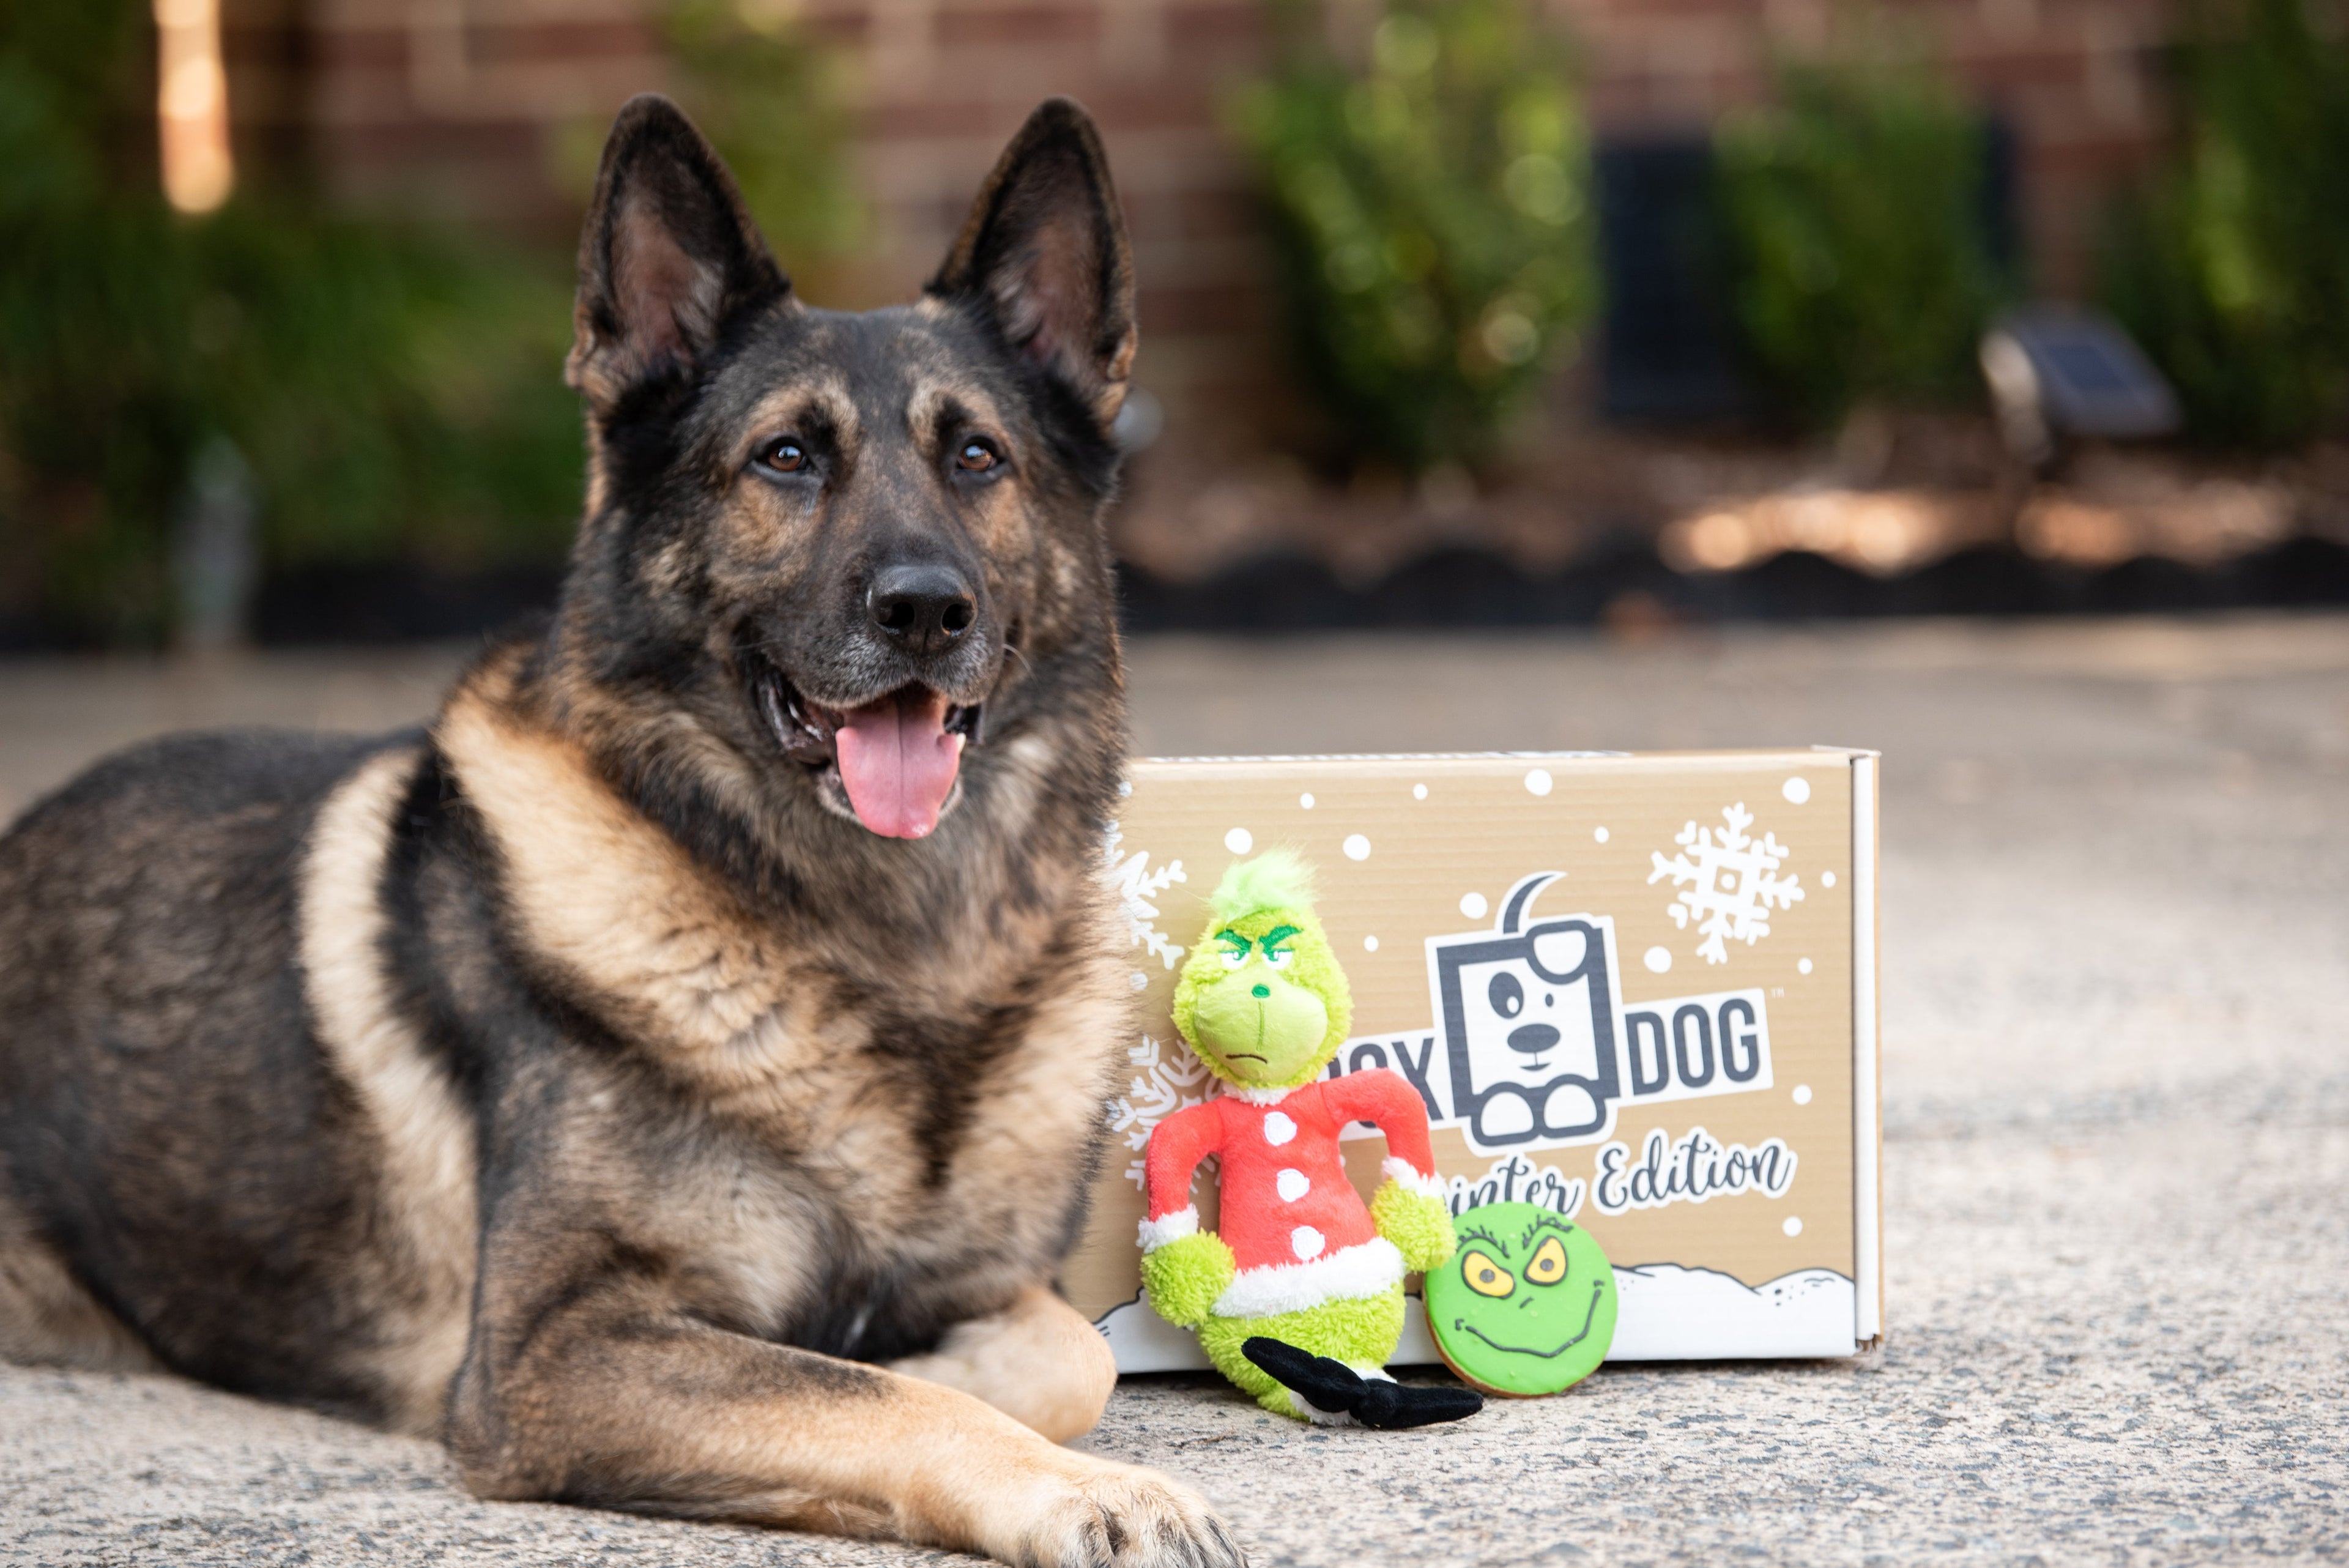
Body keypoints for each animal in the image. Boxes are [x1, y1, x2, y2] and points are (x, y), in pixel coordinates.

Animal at [0, 101, 1249, 1568]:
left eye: (979, 457)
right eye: (785, 457)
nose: (926, 609)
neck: (884, 954)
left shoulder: (1003, 1289)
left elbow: (1074, 1355)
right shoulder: (553, 1354)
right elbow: (872, 1393)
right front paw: (1066, 1475)